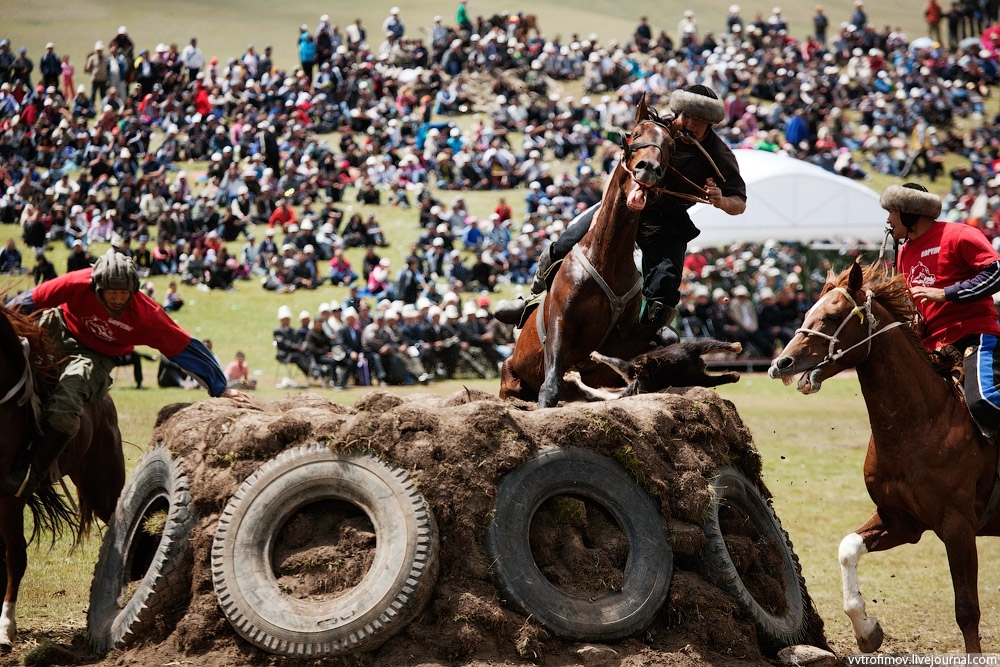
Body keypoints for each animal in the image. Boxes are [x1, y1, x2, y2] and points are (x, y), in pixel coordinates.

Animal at [504, 95, 676, 408]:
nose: (648, 168)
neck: (607, 259)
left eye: (669, 144)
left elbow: (664, 337)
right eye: (635, 134)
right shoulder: (561, 322)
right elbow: (551, 385)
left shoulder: (621, 338)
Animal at [768, 264, 996, 656]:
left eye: (832, 316)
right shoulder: (901, 520)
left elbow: (967, 610)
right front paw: (867, 629)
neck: (924, 422)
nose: (782, 362)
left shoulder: (958, 526)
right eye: (807, 312)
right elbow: (848, 549)